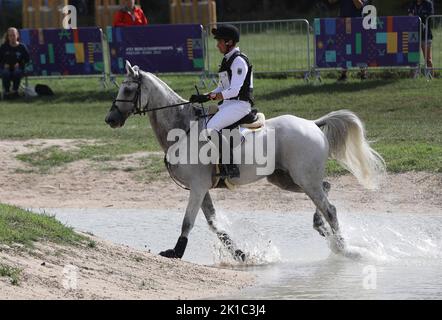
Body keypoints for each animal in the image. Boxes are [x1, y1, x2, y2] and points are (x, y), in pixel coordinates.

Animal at [105, 61, 386, 262]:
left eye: (128, 89)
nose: (111, 119)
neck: (182, 129)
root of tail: (312, 124)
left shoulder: (197, 187)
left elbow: (189, 221)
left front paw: (176, 252)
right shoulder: (202, 188)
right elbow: (214, 224)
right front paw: (240, 254)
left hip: (304, 179)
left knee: (330, 208)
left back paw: (343, 247)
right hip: (287, 179)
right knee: (327, 190)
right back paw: (321, 228)